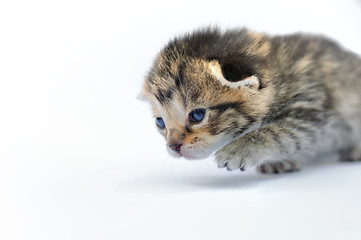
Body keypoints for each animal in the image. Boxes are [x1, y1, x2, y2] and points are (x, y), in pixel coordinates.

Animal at [139, 28, 360, 173]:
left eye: (198, 115)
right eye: (160, 122)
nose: (173, 147)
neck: (280, 71)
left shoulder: (312, 107)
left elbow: (280, 131)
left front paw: (238, 149)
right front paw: (278, 162)